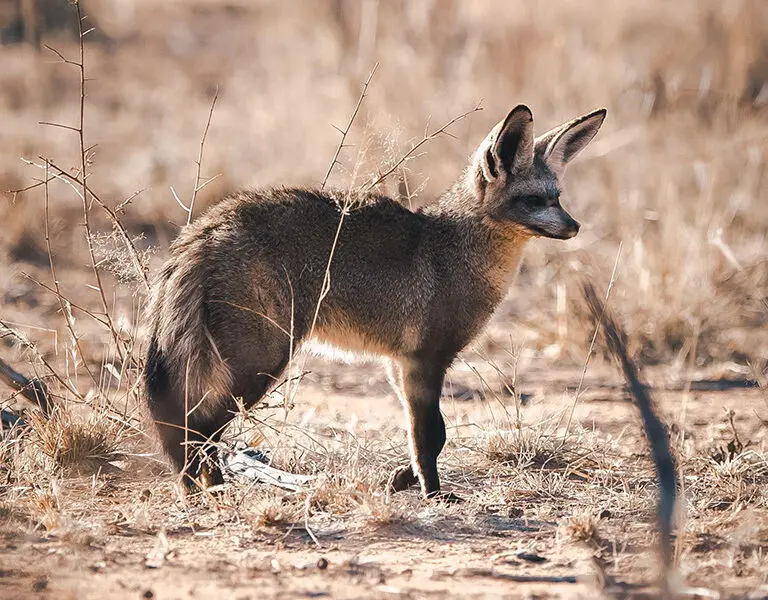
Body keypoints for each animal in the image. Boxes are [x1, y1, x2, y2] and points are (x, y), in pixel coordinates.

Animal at [143, 104, 607, 498]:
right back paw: (205, 488)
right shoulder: (425, 360)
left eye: (557, 196)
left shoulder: (398, 363)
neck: (454, 249)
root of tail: (210, 225)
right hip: (261, 362)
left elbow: (426, 434)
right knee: (195, 425)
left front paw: (406, 478)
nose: (574, 227)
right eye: (534, 200)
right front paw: (434, 494)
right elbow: (432, 434)